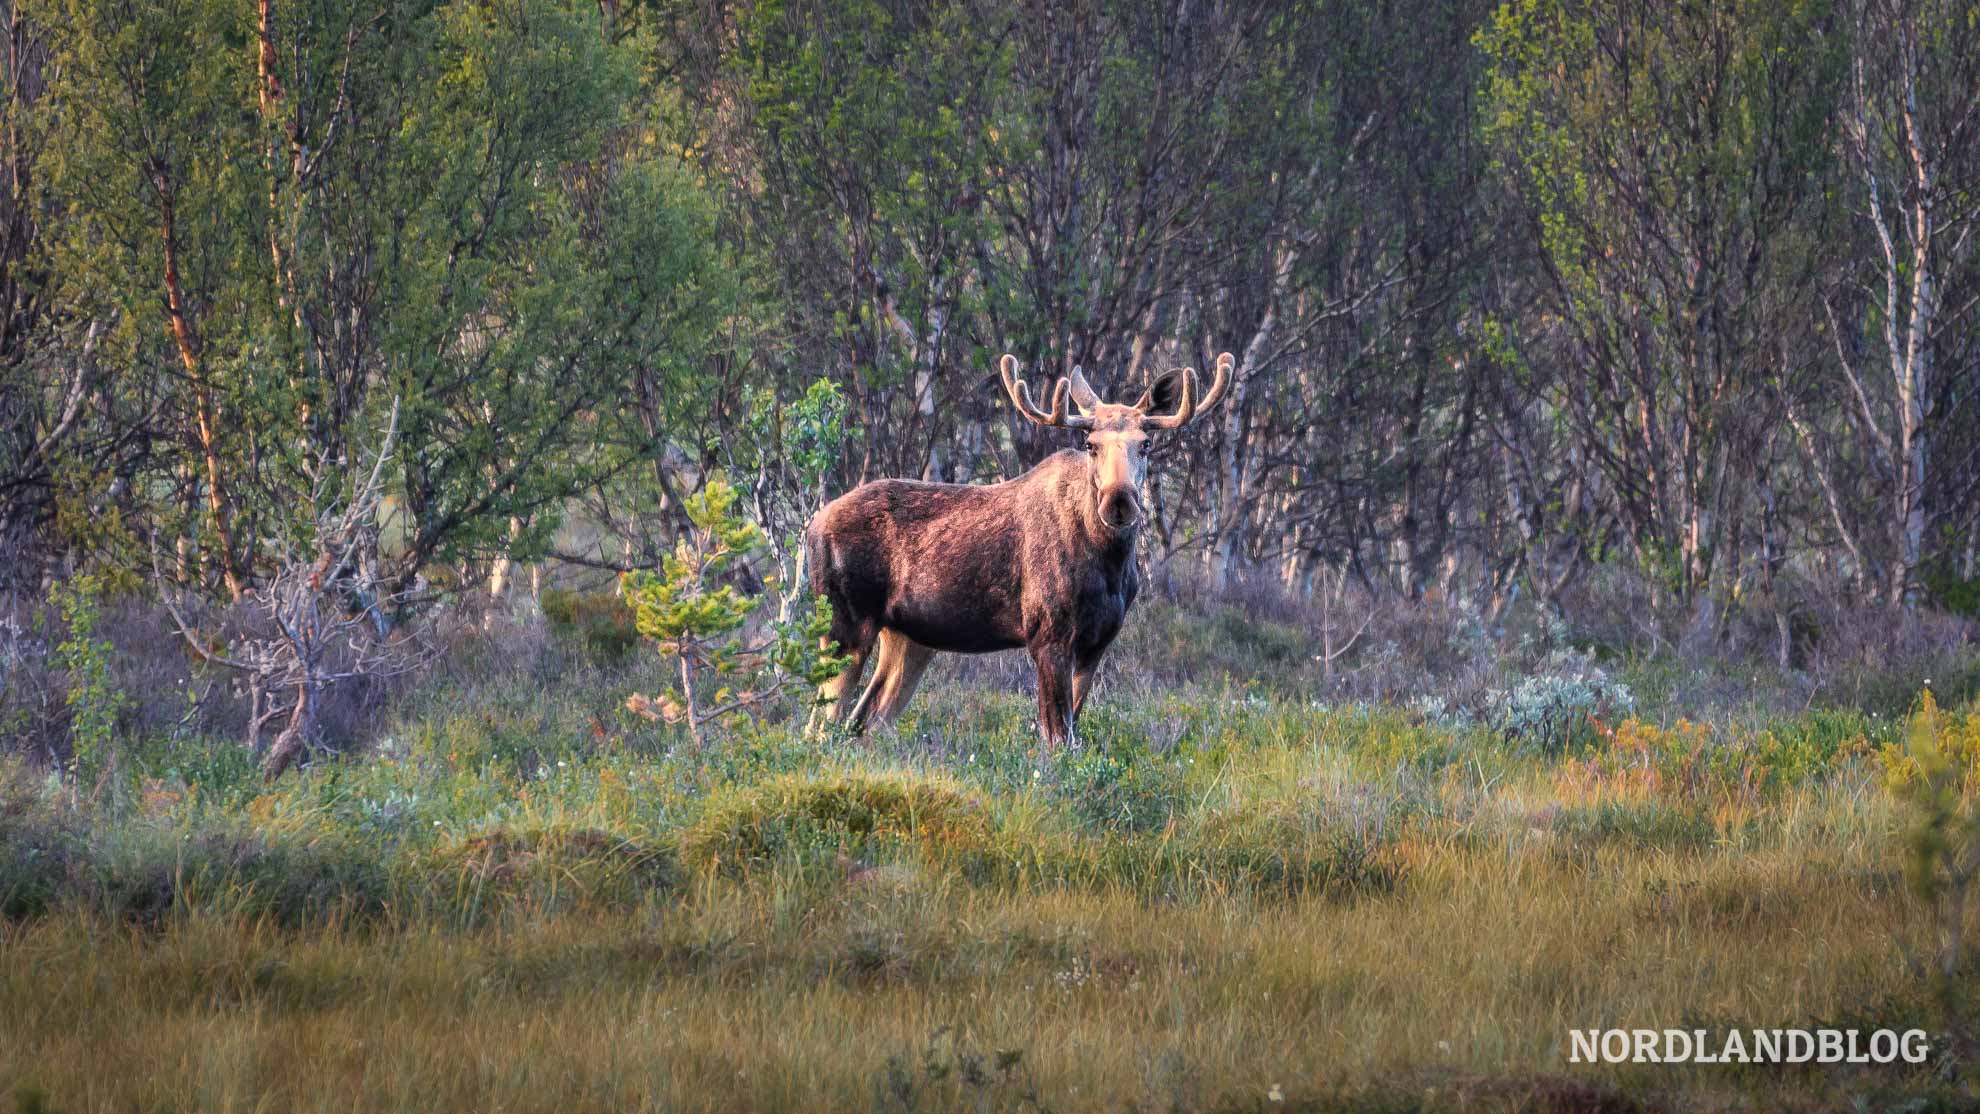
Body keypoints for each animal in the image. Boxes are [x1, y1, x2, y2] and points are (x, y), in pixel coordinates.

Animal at [799, 352, 1219, 743]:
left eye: (1145, 443)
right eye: (1091, 444)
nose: (1119, 501)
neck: (1111, 565)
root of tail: (812, 527)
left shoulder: (1098, 641)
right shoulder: (1048, 634)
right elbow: (1058, 739)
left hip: (909, 639)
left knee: (863, 722)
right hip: (845, 626)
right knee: (818, 727)